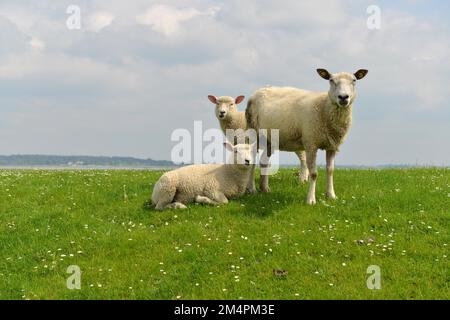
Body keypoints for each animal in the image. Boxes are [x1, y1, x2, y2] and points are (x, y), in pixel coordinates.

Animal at [246, 68, 370, 204]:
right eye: (331, 80)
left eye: (354, 80)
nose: (343, 97)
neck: (324, 108)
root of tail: (258, 91)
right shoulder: (311, 143)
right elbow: (314, 173)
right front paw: (311, 199)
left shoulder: (332, 145)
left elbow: (330, 171)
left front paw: (331, 195)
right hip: (254, 131)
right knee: (252, 160)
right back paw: (251, 189)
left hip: (270, 138)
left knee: (264, 161)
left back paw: (265, 188)